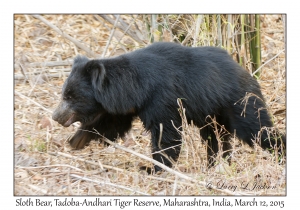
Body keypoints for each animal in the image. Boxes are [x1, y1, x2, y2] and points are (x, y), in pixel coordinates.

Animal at [52, 42, 286, 172]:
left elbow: (166, 135)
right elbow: (112, 123)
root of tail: (247, 72)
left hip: (239, 103)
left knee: (258, 130)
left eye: (71, 97)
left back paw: (279, 153)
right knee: (215, 138)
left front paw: (154, 169)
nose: (55, 116)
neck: (133, 87)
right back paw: (216, 164)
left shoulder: (160, 99)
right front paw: (76, 140)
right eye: (65, 94)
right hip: (211, 113)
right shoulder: (128, 106)